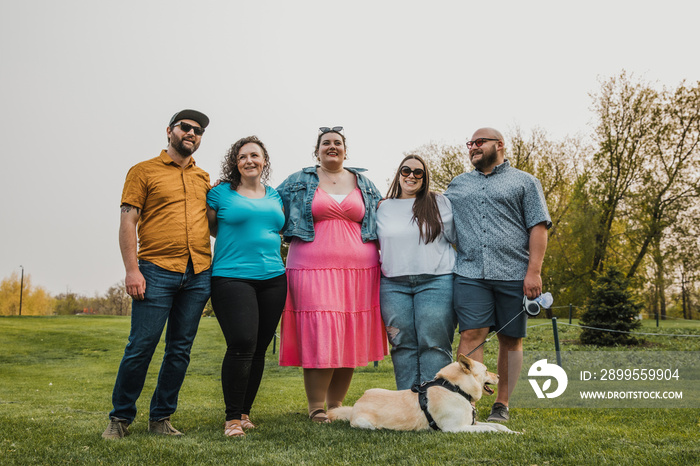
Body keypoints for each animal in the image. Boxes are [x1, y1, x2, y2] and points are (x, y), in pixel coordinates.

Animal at [326, 354, 516, 436]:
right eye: (486, 370)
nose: (499, 376)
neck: (455, 388)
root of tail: (356, 405)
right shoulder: (455, 428)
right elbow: (490, 429)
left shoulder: (471, 422)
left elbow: (498, 426)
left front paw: (515, 432)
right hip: (365, 423)